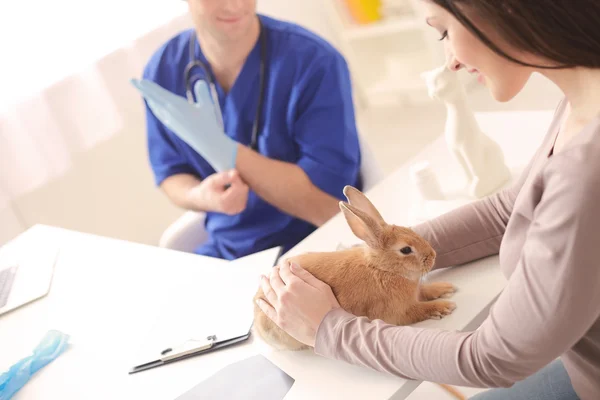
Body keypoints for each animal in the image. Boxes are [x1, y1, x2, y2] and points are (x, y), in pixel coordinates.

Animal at [251, 184, 458, 350]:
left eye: (410, 229)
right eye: (406, 249)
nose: (432, 256)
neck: (381, 268)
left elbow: (424, 290)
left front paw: (445, 288)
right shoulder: (398, 312)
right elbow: (418, 310)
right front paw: (444, 306)